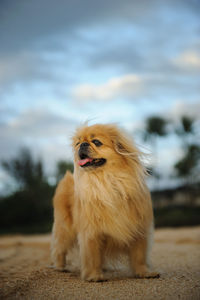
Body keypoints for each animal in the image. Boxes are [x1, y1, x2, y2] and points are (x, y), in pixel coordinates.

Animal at [51, 122, 159, 282]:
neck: (108, 181)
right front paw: (95, 276)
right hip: (64, 228)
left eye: (96, 142)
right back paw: (60, 267)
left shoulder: (139, 229)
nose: (82, 144)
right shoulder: (91, 233)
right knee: (59, 249)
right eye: (77, 143)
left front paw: (144, 273)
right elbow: (93, 256)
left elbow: (139, 256)